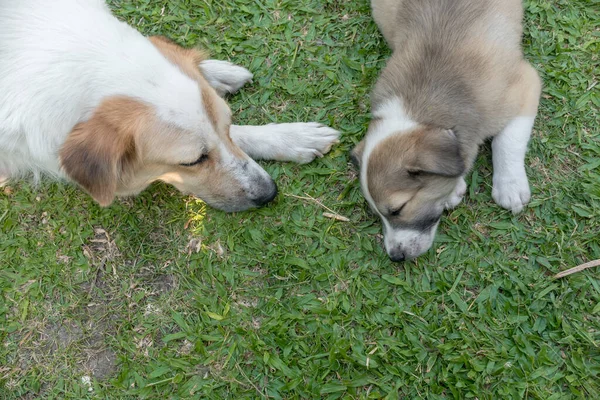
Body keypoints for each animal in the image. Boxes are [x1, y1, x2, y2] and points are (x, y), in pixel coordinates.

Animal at [352, 0, 544, 260]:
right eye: (377, 213)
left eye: (398, 209)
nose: (395, 257)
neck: (420, 107)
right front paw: (454, 189)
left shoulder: (524, 85)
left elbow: (507, 142)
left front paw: (510, 185)